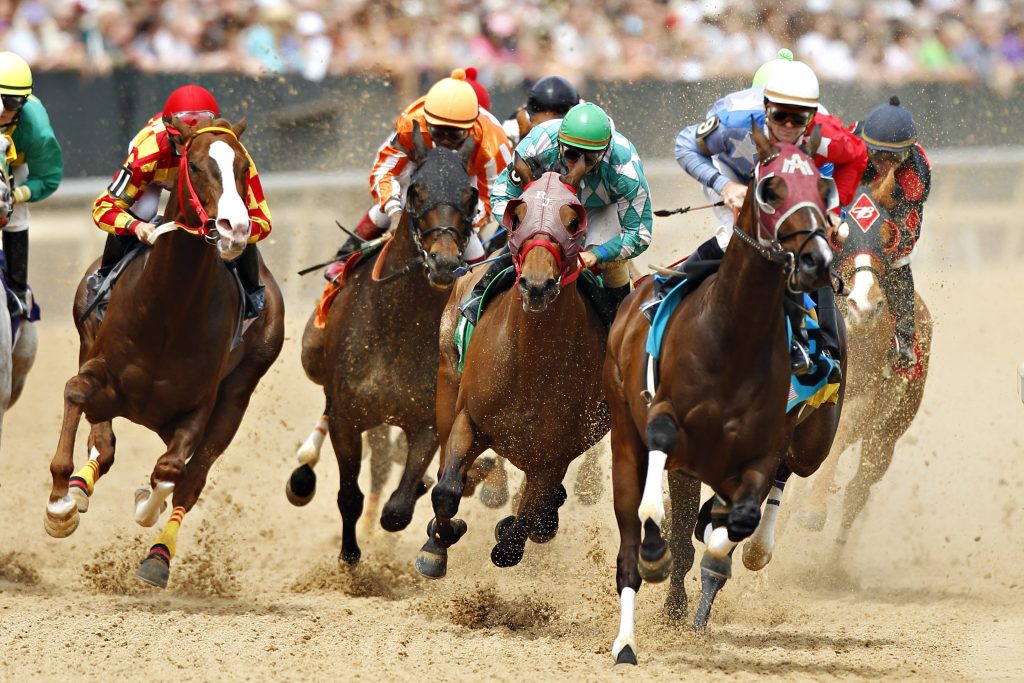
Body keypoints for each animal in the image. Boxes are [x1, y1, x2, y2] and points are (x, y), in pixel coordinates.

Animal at [43, 117, 284, 589]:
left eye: (243, 168)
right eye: (197, 165)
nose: (235, 228)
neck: (170, 308)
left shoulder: (198, 406)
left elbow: (171, 473)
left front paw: (144, 506)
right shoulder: (102, 370)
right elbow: (77, 395)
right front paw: (61, 503)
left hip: (237, 394)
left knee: (191, 479)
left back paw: (158, 554)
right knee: (105, 445)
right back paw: (80, 488)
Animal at [288, 125, 479, 565]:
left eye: (470, 195)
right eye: (416, 191)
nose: (443, 262)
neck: (397, 327)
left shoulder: (426, 421)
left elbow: (399, 509)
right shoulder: (347, 417)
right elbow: (348, 495)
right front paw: (349, 557)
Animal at [415, 163, 606, 577]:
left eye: (573, 220)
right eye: (517, 215)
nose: (537, 285)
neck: (531, 362)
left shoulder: (555, 452)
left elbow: (526, 522)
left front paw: (512, 532)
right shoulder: (470, 418)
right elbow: (447, 489)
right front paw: (435, 548)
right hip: (446, 384)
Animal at [602, 124, 843, 663]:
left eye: (823, 190)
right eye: (770, 189)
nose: (816, 260)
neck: (733, 336)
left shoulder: (760, 453)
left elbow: (736, 522)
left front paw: (722, 545)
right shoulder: (665, 420)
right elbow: (656, 505)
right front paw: (658, 551)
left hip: (809, 446)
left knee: (772, 487)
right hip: (625, 439)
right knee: (629, 545)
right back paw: (626, 639)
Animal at [794, 172, 933, 557]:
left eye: (888, 237)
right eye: (837, 235)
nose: (864, 305)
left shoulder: (859, 397)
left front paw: (812, 512)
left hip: (887, 434)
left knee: (858, 489)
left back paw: (833, 562)